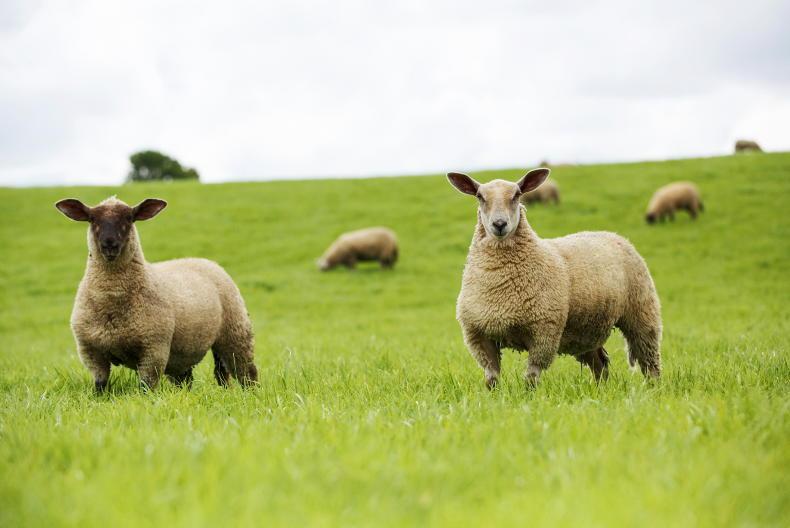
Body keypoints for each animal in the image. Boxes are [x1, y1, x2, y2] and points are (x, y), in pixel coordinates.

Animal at [55, 196, 258, 392]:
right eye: (92, 219)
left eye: (129, 218)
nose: (109, 245)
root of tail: (206, 261)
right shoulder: (91, 353)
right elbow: (100, 386)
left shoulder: (154, 349)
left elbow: (146, 387)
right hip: (181, 354)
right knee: (197, 378)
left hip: (235, 332)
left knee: (246, 372)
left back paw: (251, 393)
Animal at [447, 169, 662, 388]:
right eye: (480, 196)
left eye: (517, 195)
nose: (499, 224)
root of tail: (614, 235)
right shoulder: (479, 336)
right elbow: (492, 378)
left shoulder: (544, 332)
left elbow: (532, 377)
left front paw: (529, 394)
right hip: (586, 329)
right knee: (600, 363)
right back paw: (600, 389)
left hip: (642, 313)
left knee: (649, 359)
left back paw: (654, 387)